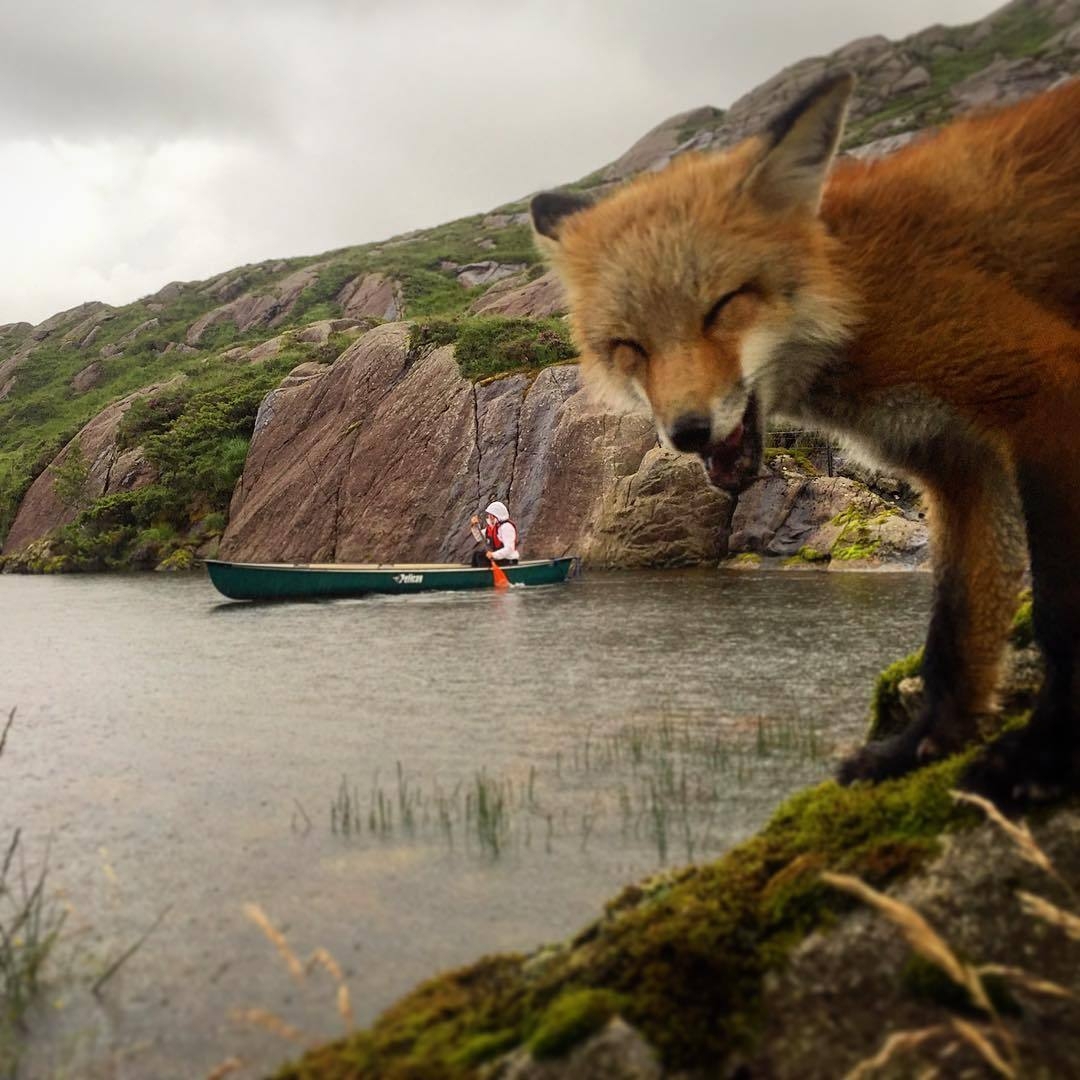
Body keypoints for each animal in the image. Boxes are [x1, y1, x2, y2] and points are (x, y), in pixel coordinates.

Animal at [531, 73, 1080, 803]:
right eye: (629, 347)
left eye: (722, 307)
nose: (687, 432)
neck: (862, 294)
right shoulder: (957, 461)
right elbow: (956, 628)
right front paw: (922, 746)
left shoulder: (1049, 386)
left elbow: (1059, 612)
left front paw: (1046, 755)